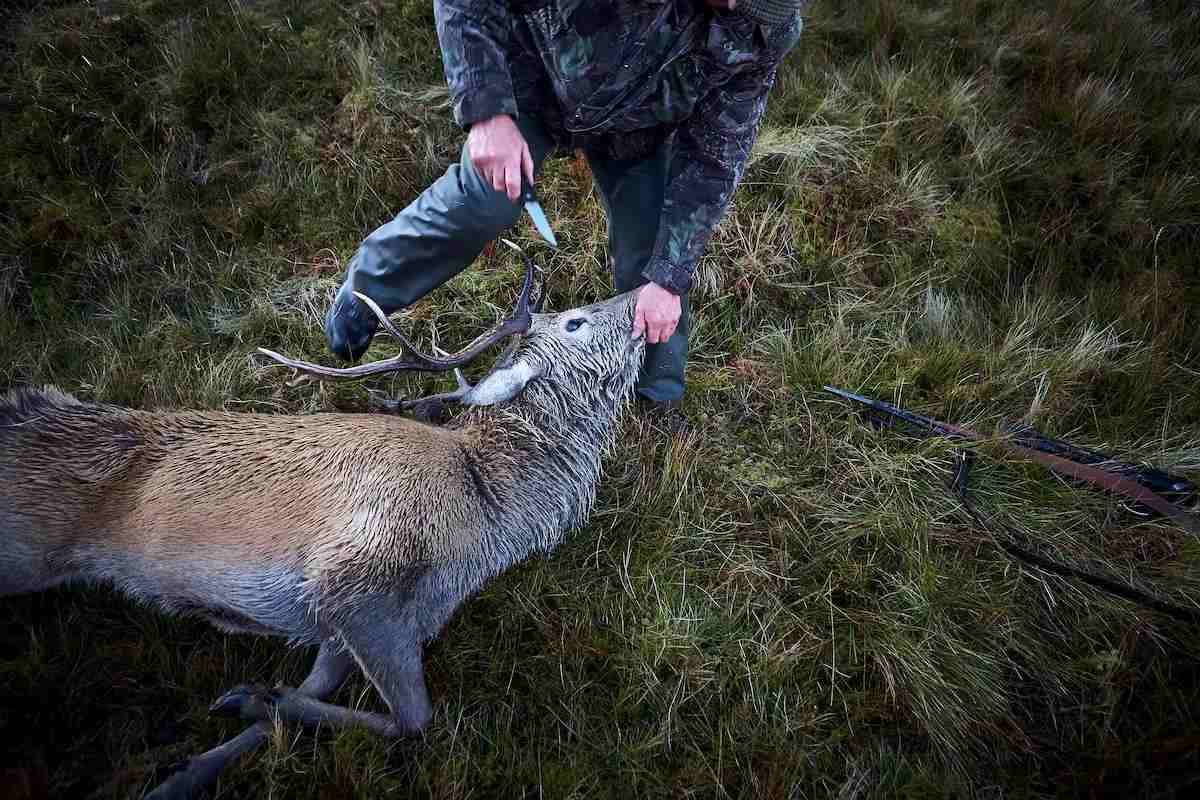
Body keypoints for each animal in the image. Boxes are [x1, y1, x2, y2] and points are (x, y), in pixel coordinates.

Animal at [0, 243, 648, 799]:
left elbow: (309, 694)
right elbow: (414, 719)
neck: (487, 514)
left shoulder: (351, 624)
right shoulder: (354, 576)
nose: (646, 290)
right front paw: (250, 697)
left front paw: (197, 760)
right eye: (575, 322)